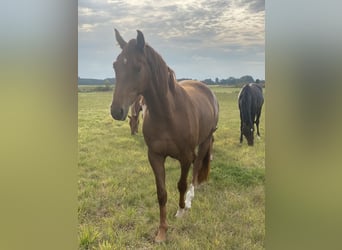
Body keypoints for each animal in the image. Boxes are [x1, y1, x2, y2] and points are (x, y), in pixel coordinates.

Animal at [111, 29, 220, 242]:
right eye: (115, 66)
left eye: (137, 68)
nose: (116, 111)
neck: (169, 114)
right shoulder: (155, 156)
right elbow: (161, 193)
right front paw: (162, 231)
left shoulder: (185, 157)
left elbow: (181, 184)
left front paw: (181, 210)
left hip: (204, 141)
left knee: (196, 169)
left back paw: (190, 198)